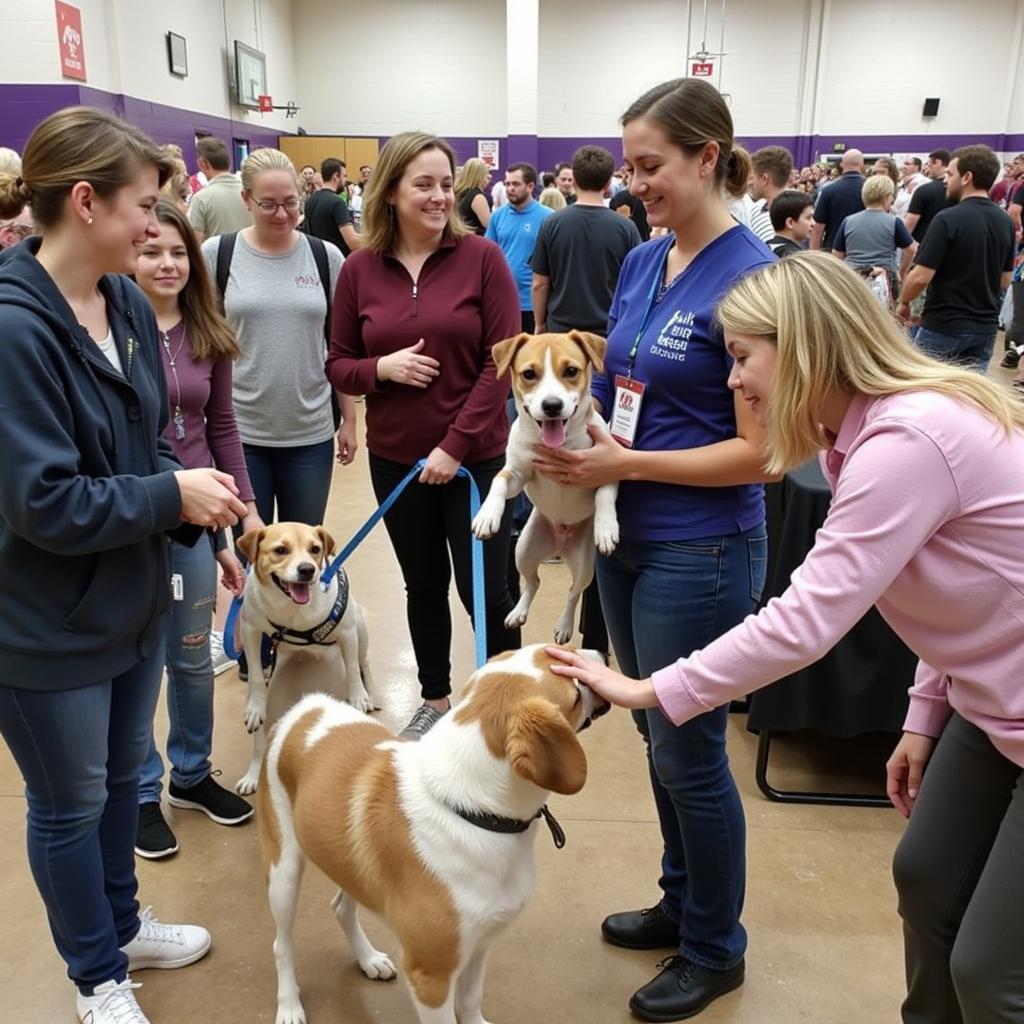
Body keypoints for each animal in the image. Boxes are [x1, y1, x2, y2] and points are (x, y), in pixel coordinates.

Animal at [234, 524, 374, 794]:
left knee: (363, 663)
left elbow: (353, 671)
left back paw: (370, 694)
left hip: (360, 628)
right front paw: (256, 707)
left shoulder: (347, 631)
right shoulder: (250, 630)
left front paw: (359, 697)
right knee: (259, 742)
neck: (291, 613)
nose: (307, 569)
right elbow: (255, 676)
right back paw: (253, 773)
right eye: (280, 550)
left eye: (315, 549)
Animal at [258, 643, 606, 1019]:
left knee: (341, 908)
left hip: (347, 862)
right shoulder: (431, 979)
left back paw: (368, 959)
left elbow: (470, 1001)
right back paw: (289, 1004)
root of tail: (301, 710)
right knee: (280, 944)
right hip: (284, 873)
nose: (601, 656)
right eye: (575, 694)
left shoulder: (479, 944)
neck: (472, 812)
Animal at [471, 331, 614, 643]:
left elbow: (605, 497)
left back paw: (565, 625)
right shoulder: (516, 473)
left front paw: (607, 528)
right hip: (524, 549)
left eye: (571, 371)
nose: (552, 405)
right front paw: (487, 515)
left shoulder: (607, 466)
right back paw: (518, 611)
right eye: (529, 374)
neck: (557, 447)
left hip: (584, 565)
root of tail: (559, 543)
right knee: (532, 582)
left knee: (573, 592)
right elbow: (499, 483)